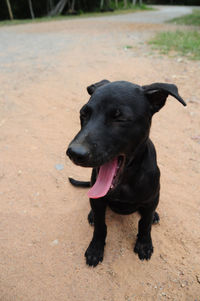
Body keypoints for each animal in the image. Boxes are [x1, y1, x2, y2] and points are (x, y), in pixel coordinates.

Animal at [67, 79, 186, 264]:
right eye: (83, 114)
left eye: (120, 118)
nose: (74, 153)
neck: (125, 182)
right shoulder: (98, 201)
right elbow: (101, 226)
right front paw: (95, 248)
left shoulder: (152, 198)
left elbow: (144, 224)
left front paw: (144, 244)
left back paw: (154, 215)